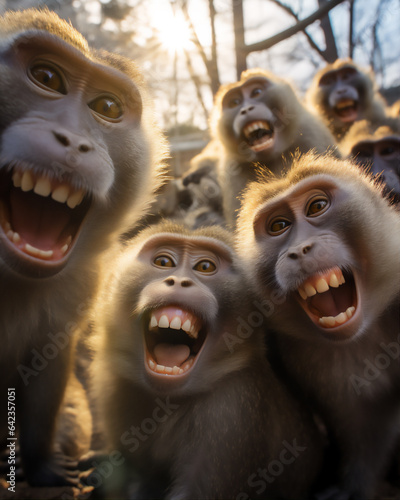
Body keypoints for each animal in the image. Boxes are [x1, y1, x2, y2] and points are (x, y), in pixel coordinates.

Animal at [0, 6, 166, 484]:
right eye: (46, 77)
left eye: (106, 107)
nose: (74, 141)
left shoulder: (82, 281)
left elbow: (48, 359)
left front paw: (41, 462)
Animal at [93, 222, 324, 500]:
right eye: (163, 262)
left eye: (205, 267)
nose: (179, 281)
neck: (169, 400)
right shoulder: (115, 388)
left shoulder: (233, 411)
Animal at [236, 153, 400, 500]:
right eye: (279, 226)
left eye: (317, 206)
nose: (299, 250)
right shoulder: (311, 358)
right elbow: (365, 425)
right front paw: (355, 486)